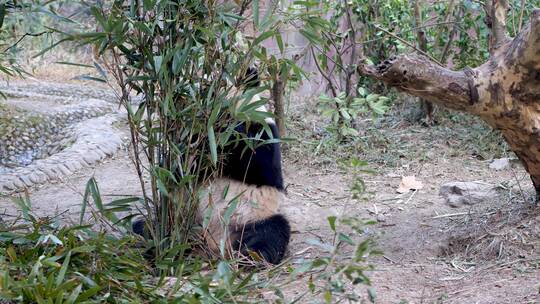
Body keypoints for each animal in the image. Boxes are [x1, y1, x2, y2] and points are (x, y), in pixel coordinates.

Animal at [133, 67, 292, 266]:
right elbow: (183, 165)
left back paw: (251, 256)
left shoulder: (261, 132)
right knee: (147, 227)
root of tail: (213, 247)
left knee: (271, 232)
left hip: (253, 217)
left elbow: (257, 162)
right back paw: (155, 242)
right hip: (181, 218)